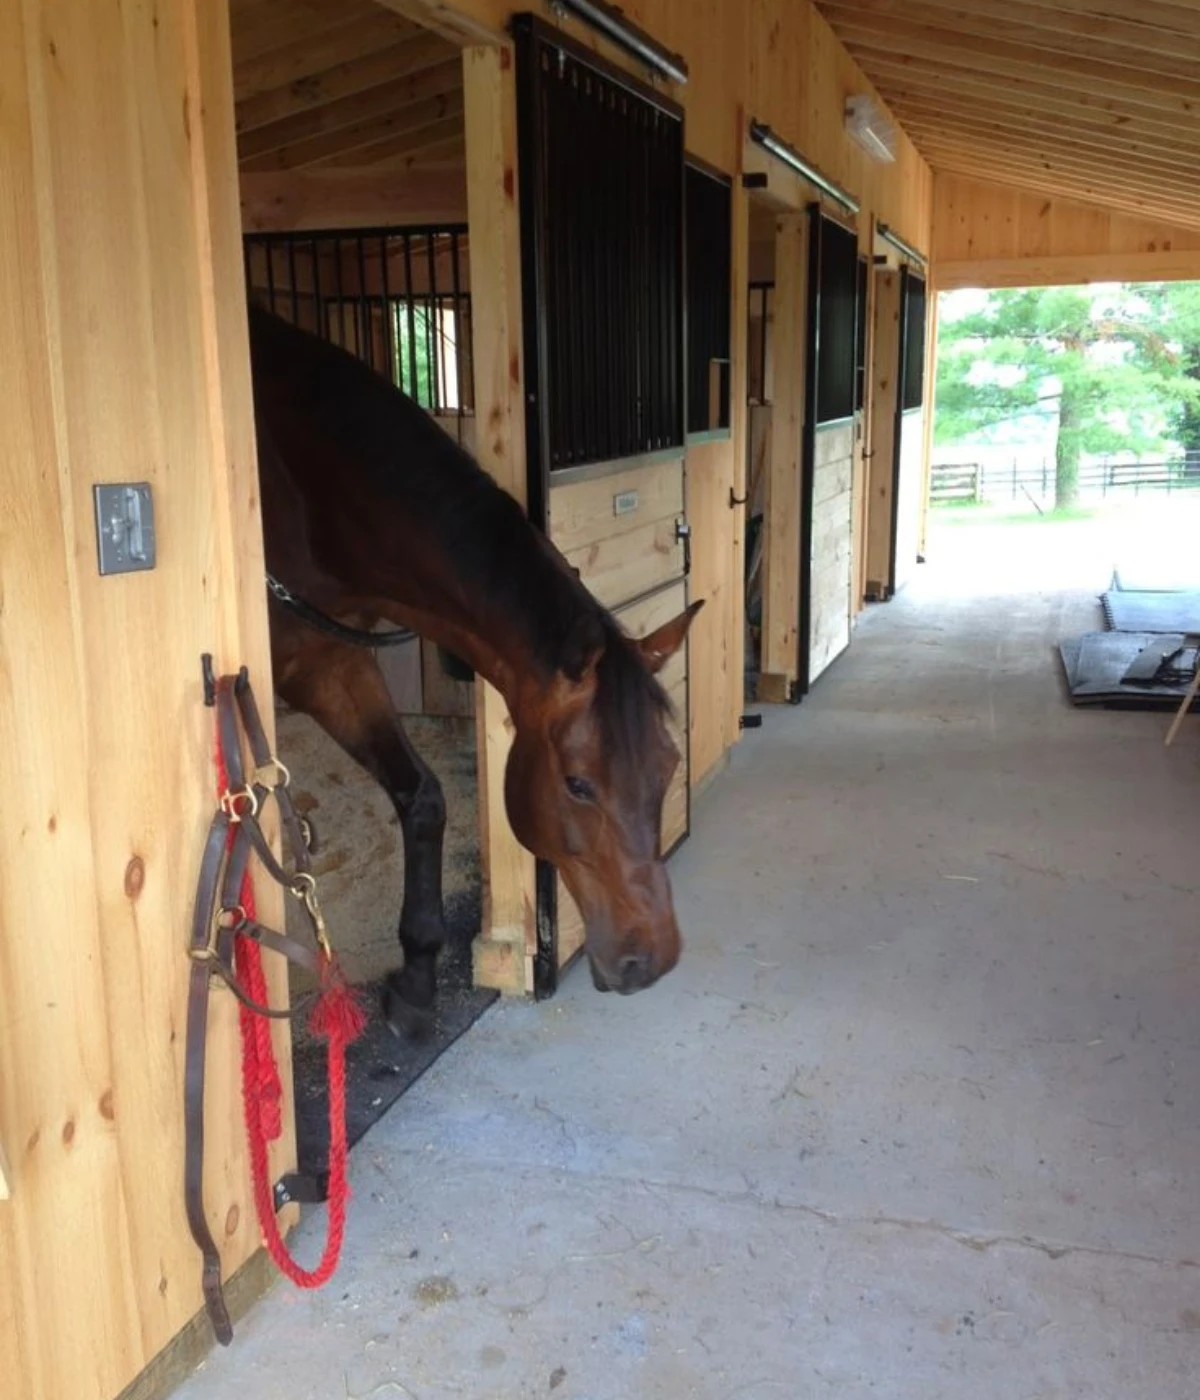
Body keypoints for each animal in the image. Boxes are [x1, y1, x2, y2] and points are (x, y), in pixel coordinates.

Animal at [245, 303, 702, 1036]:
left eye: (669, 768)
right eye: (578, 785)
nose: (650, 960)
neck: (301, 492)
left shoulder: (331, 659)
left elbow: (421, 795)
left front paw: (416, 977)